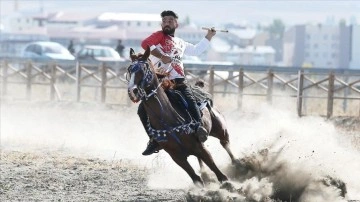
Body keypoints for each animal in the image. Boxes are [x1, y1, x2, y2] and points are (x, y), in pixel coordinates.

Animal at [126, 47, 236, 186]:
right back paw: (205, 174)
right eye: (129, 70)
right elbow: (196, 178)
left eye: (144, 69)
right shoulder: (176, 156)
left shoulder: (200, 147)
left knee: (226, 144)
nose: (132, 91)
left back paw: (239, 165)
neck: (168, 120)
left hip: (221, 129)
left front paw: (227, 184)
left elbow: (217, 171)